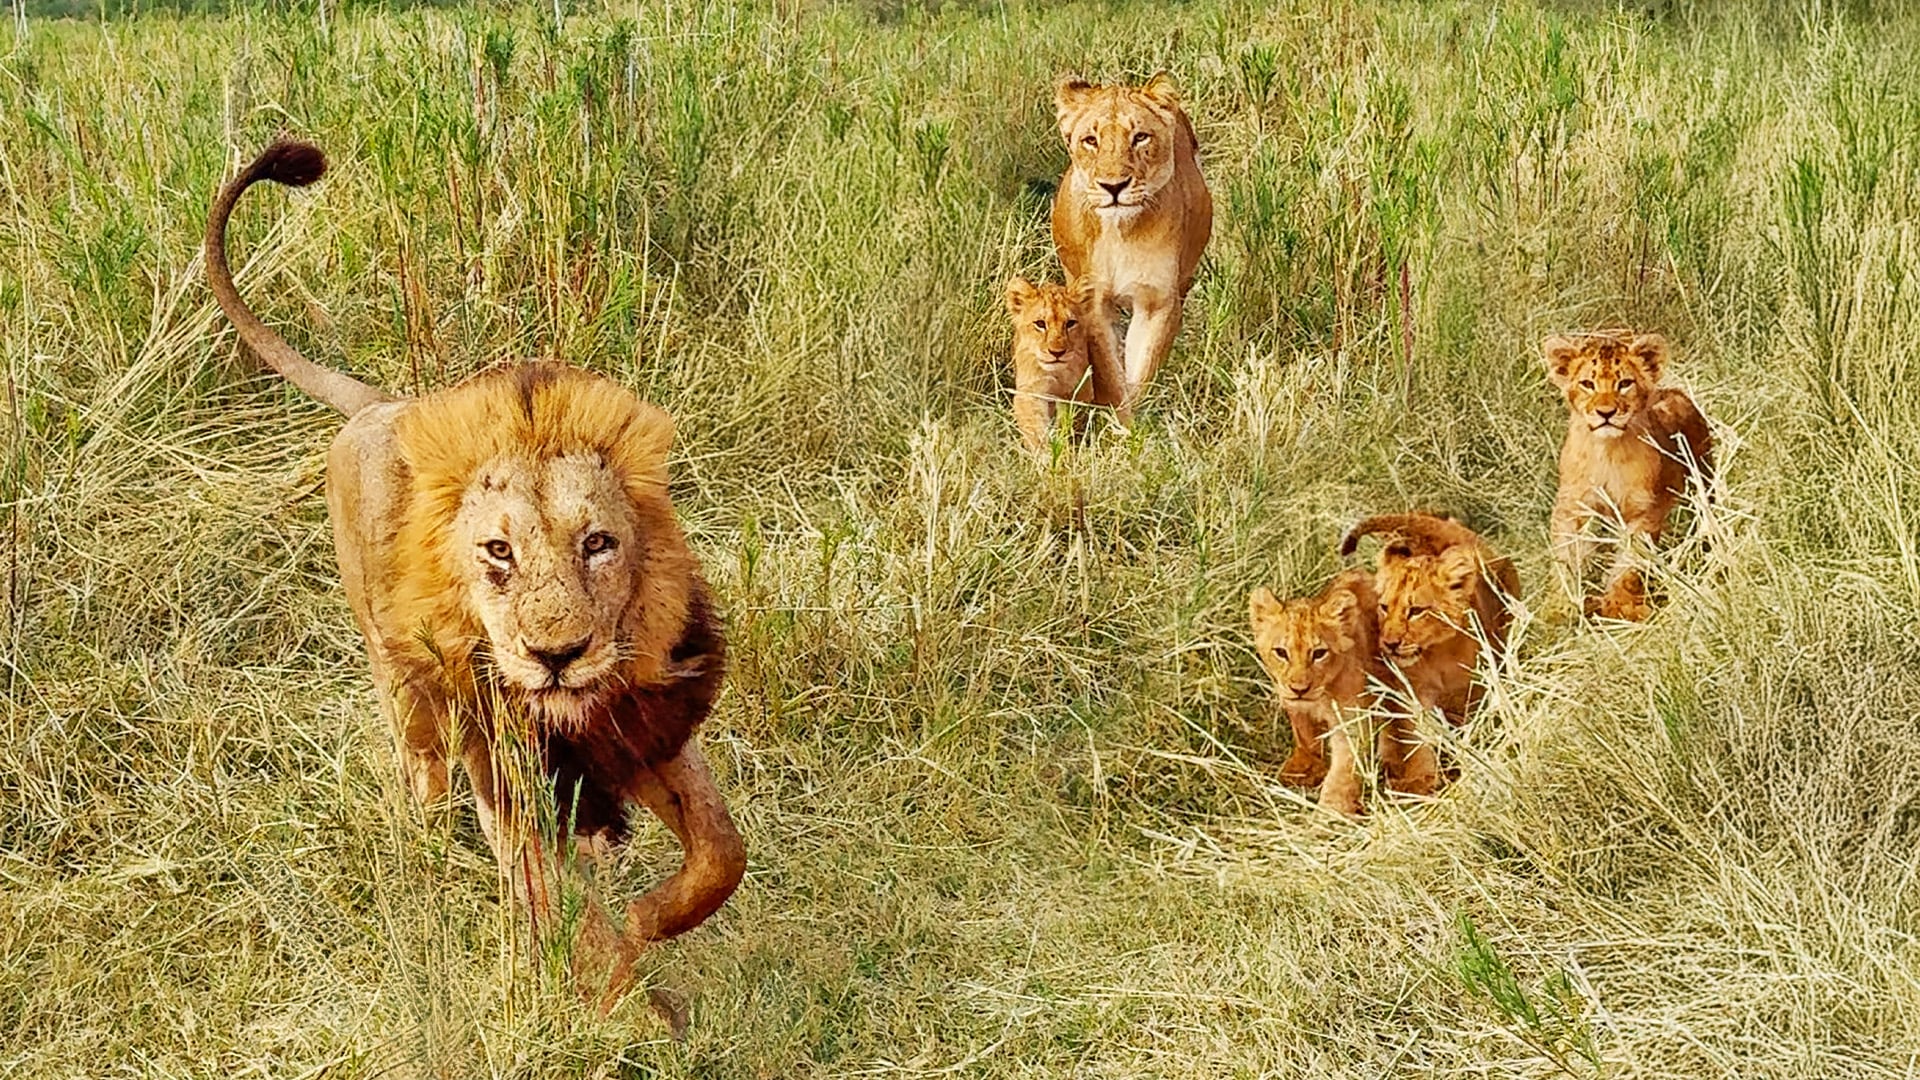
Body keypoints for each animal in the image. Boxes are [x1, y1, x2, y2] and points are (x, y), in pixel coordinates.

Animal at [205, 139, 744, 1007]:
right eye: (499, 551)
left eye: (598, 543)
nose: (557, 656)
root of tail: (376, 407)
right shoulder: (506, 766)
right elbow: (558, 906)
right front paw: (629, 1002)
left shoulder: (642, 727)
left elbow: (723, 851)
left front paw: (647, 918)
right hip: (400, 680)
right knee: (423, 774)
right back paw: (431, 860)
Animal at [1004, 276, 1096, 451]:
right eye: (1040, 323)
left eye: (1070, 323)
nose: (1057, 352)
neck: (1056, 373)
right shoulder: (1030, 392)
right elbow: (1035, 428)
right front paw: (1046, 453)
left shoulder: (1080, 391)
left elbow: (1070, 421)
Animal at [1052, 72, 1213, 420]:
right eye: (1091, 140)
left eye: (1140, 137)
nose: (1113, 187)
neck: (1120, 233)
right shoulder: (1093, 304)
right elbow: (1110, 375)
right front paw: (1120, 421)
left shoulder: (1158, 301)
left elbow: (1142, 369)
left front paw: (1136, 422)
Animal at [1249, 570, 1434, 817]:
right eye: (1281, 652)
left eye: (1319, 653)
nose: (1299, 689)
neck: (1320, 697)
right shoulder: (1295, 705)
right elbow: (1304, 736)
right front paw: (1303, 769)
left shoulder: (1351, 717)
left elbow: (1344, 767)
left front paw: (1332, 810)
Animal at [1544, 330, 1713, 621]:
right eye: (1587, 383)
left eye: (1624, 383)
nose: (1606, 413)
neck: (1607, 452)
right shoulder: (1572, 507)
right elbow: (1566, 556)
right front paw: (1560, 606)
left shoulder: (1644, 511)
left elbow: (1630, 565)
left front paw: (1621, 606)